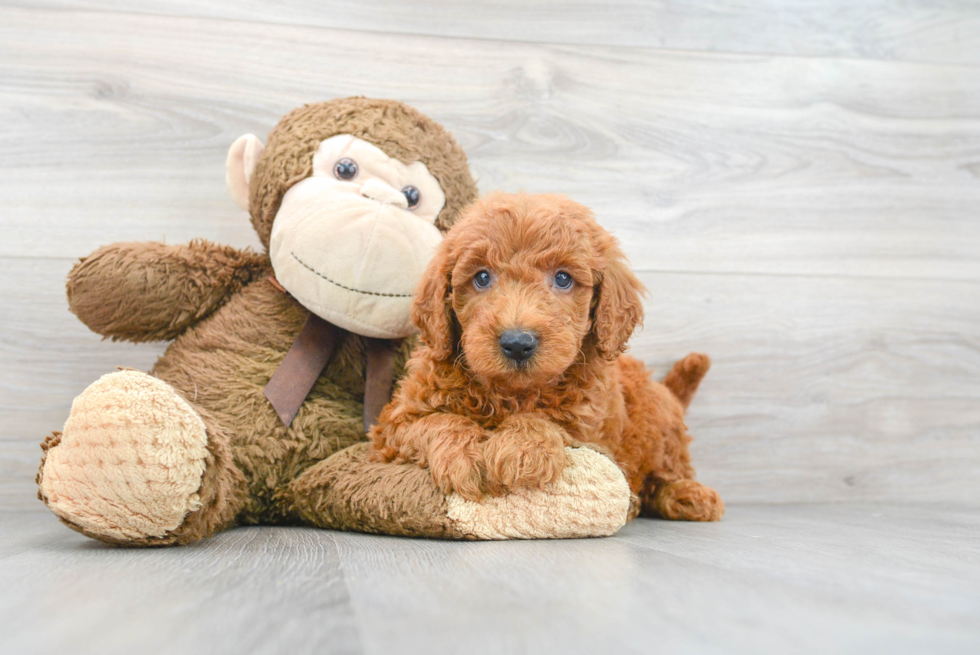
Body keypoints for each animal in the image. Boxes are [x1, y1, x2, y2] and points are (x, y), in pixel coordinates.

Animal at [372, 192, 724, 520]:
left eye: (563, 278)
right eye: (482, 277)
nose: (517, 342)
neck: (511, 393)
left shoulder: (587, 428)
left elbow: (547, 419)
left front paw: (522, 447)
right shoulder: (393, 425)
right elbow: (436, 422)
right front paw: (463, 455)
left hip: (662, 427)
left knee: (667, 472)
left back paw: (687, 495)